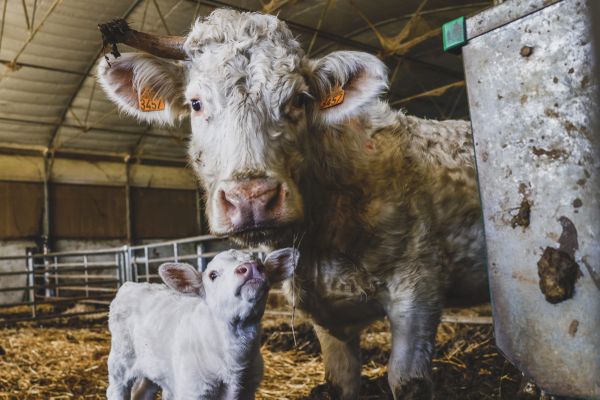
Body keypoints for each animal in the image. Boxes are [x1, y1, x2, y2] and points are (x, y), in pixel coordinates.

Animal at [107, 248, 298, 398]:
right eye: (213, 275)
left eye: (262, 266)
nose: (250, 267)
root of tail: (131, 284)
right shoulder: (193, 390)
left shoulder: (248, 391)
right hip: (120, 362)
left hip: (153, 368)